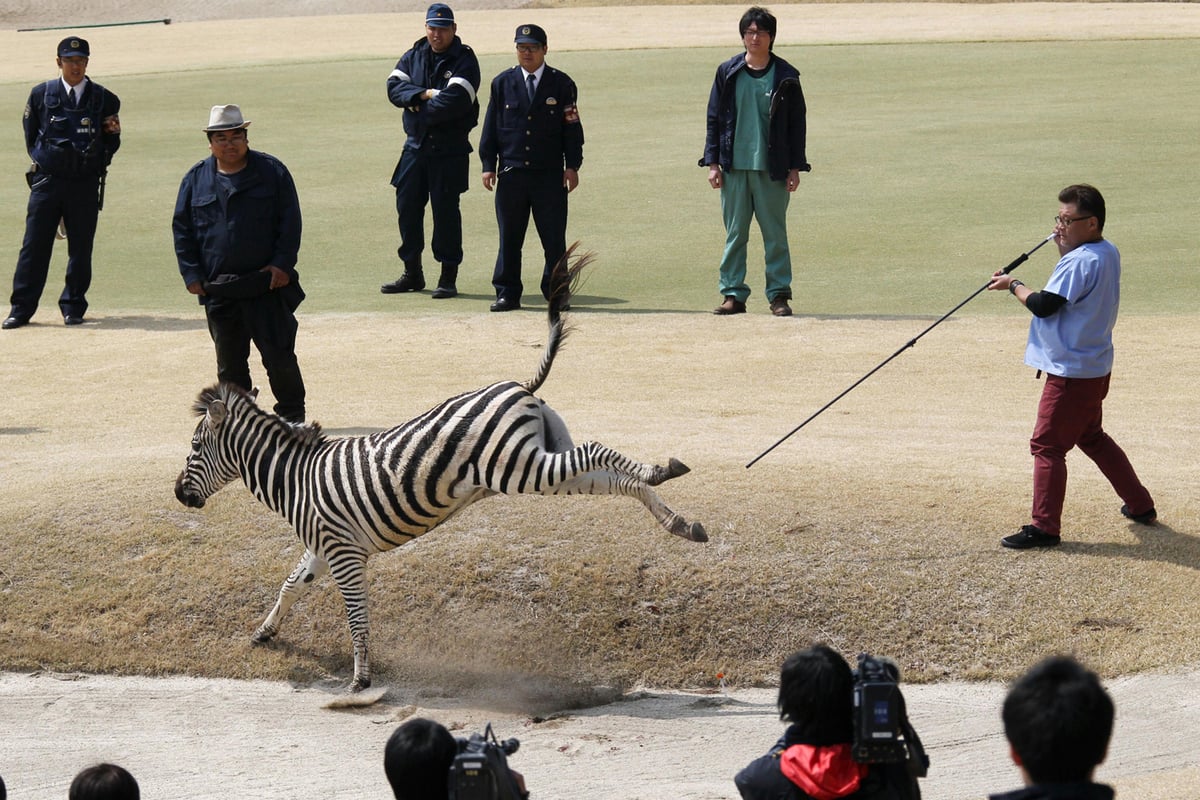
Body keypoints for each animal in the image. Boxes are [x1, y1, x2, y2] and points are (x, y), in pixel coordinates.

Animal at [174, 247, 706, 692]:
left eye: (195, 446)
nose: (179, 493)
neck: (295, 478)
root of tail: (519, 385)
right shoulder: (324, 549)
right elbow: (289, 584)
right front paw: (265, 632)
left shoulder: (344, 554)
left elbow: (356, 616)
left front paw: (360, 680)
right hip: (545, 464)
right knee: (616, 476)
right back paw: (678, 517)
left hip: (519, 466)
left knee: (599, 451)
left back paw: (665, 471)